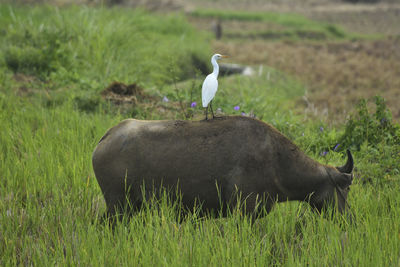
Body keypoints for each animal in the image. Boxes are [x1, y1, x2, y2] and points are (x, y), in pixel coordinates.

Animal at [91, 116, 354, 218]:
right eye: (346, 189)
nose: (349, 219)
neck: (276, 161)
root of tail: (107, 136)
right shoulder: (244, 211)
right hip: (119, 206)